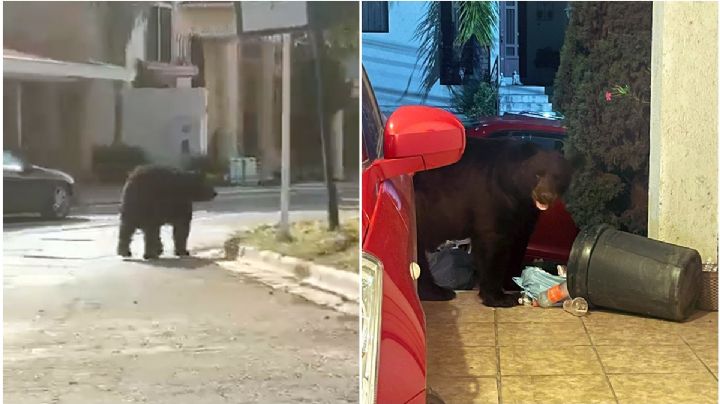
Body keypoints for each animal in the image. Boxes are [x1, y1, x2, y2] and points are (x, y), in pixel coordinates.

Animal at [414, 137, 572, 307]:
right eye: (537, 174)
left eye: (558, 177)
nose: (545, 196)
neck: (514, 190)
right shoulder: (491, 198)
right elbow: (493, 244)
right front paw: (499, 297)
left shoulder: (524, 214)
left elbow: (519, 242)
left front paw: (513, 282)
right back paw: (439, 292)